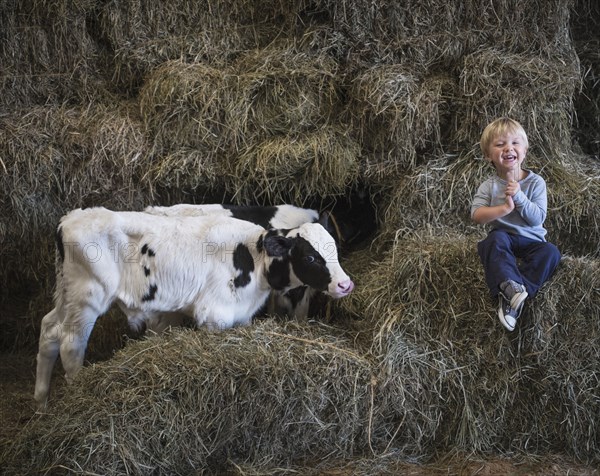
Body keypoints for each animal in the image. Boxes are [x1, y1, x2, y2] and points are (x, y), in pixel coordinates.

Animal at [34, 206, 352, 408]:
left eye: (334, 248)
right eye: (309, 257)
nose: (345, 284)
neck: (253, 254)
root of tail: (70, 218)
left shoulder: (240, 316)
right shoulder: (214, 315)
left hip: (66, 294)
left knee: (49, 331)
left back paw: (41, 404)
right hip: (87, 298)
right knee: (70, 344)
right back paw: (75, 392)